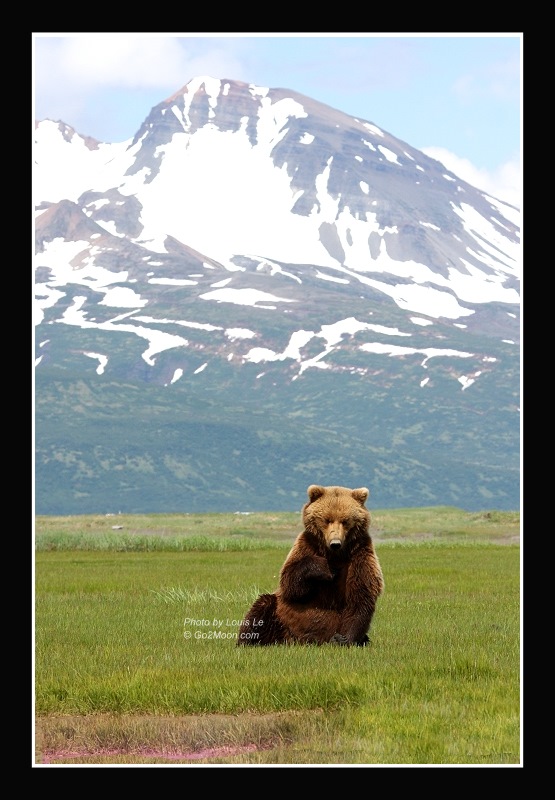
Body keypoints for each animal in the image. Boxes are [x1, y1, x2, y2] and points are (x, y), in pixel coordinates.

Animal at [237, 484, 384, 648]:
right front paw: (326, 569)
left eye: (345, 521)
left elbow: (360, 597)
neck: (335, 554)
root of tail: (294, 641)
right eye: (327, 520)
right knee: (262, 607)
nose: (335, 543)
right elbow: (290, 582)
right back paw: (247, 641)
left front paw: (343, 639)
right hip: (279, 618)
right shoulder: (307, 545)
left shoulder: (360, 554)